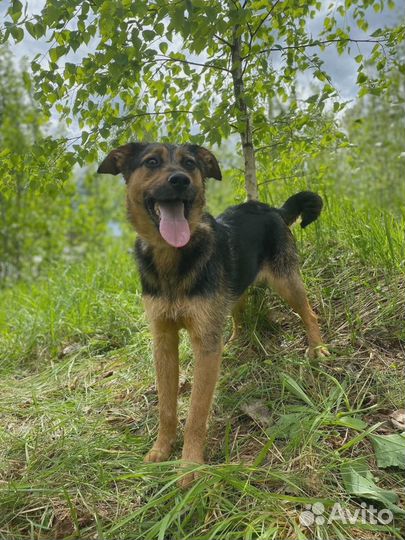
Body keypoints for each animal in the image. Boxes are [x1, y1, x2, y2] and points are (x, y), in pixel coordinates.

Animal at [98, 142, 328, 486]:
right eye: (151, 162)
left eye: (190, 164)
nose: (180, 180)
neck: (172, 260)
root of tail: (271, 209)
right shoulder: (163, 339)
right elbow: (166, 406)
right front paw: (161, 449)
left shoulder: (203, 344)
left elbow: (196, 412)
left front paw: (189, 465)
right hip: (232, 291)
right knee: (238, 314)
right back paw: (233, 341)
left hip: (286, 281)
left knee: (309, 313)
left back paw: (318, 347)